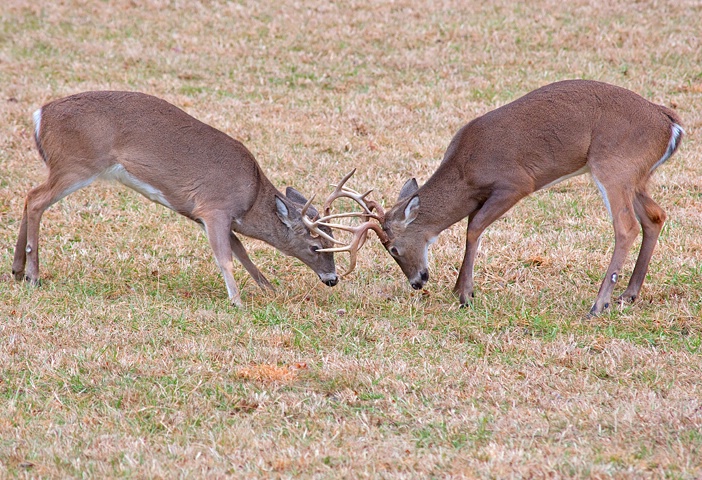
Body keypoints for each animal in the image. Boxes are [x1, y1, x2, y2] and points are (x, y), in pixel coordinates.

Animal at [11, 91, 340, 306]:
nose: (333, 279)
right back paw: (33, 275)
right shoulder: (215, 207)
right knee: (36, 199)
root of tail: (40, 116)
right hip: (77, 164)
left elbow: (241, 252)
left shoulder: (205, 215)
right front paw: (237, 301)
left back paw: (16, 270)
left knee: (29, 196)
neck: (252, 196)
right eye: (316, 246)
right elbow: (225, 257)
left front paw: (270, 289)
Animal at [306, 80, 680, 316]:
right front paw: (460, 289)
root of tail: (670, 123)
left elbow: (473, 227)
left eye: (393, 249)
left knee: (626, 226)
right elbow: (473, 223)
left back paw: (599, 304)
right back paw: (628, 295)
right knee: (655, 215)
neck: (466, 171)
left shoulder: (517, 182)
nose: (417, 282)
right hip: (636, 175)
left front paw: (464, 294)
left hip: (613, 165)